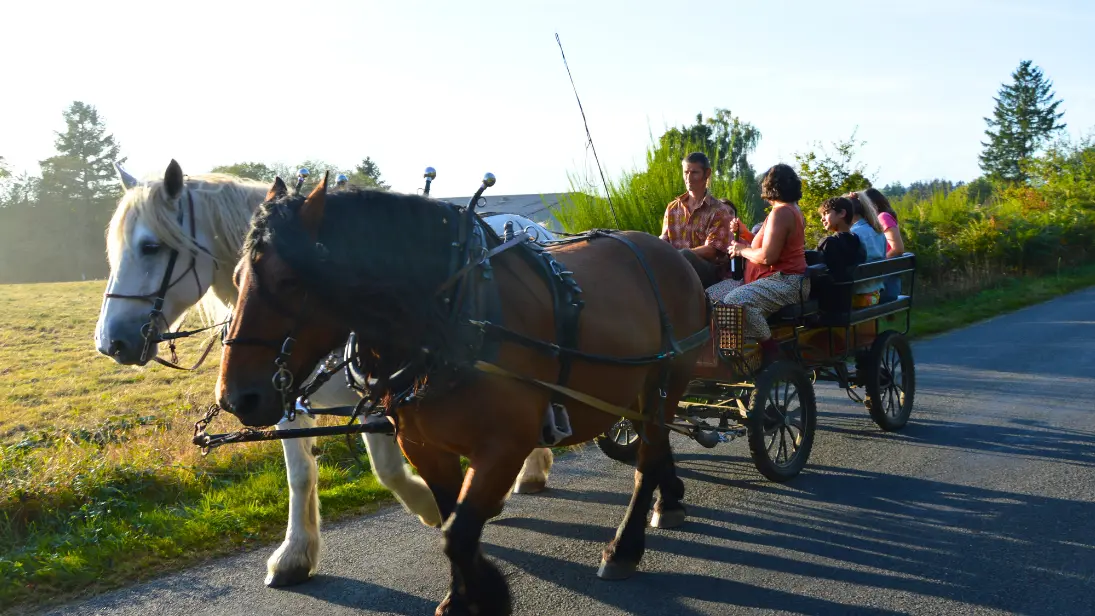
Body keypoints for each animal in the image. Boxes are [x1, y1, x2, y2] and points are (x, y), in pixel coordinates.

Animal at [215, 175, 709, 616]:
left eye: (290, 280)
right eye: (237, 278)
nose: (236, 398)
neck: (454, 314)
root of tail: (670, 252)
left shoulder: (505, 445)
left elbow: (457, 531)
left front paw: (486, 596)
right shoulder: (424, 445)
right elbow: (453, 520)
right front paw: (468, 596)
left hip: (666, 381)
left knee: (647, 459)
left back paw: (625, 547)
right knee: (657, 447)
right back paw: (670, 500)